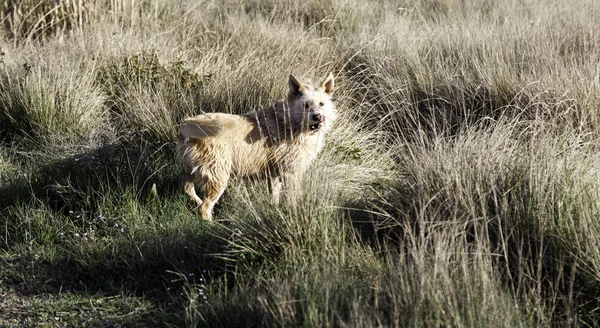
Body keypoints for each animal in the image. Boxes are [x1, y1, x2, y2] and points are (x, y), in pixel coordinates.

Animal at [175, 73, 338, 219]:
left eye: (321, 104)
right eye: (306, 105)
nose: (317, 117)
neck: (290, 122)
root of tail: (188, 122)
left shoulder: (274, 175)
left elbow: (274, 199)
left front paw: (274, 212)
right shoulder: (290, 174)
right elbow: (292, 200)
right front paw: (295, 213)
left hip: (198, 171)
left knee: (187, 186)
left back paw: (198, 202)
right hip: (219, 177)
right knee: (205, 207)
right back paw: (210, 224)